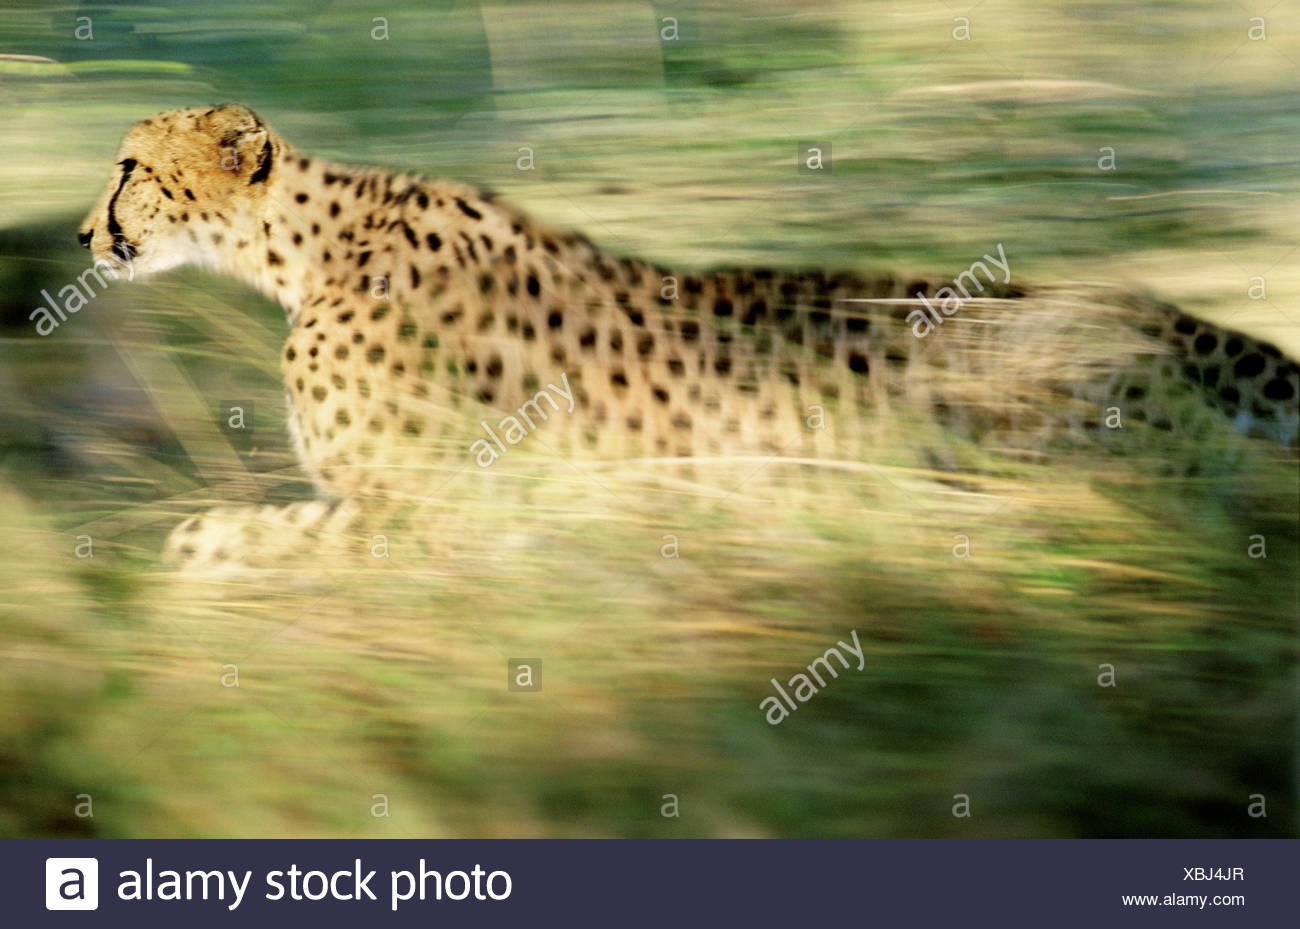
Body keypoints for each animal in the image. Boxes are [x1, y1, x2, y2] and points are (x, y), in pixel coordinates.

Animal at [77, 104, 1299, 570]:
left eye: (129, 165)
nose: (86, 230)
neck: (303, 245)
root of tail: (1148, 304)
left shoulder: (444, 509)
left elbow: (234, 533)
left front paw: (185, 558)